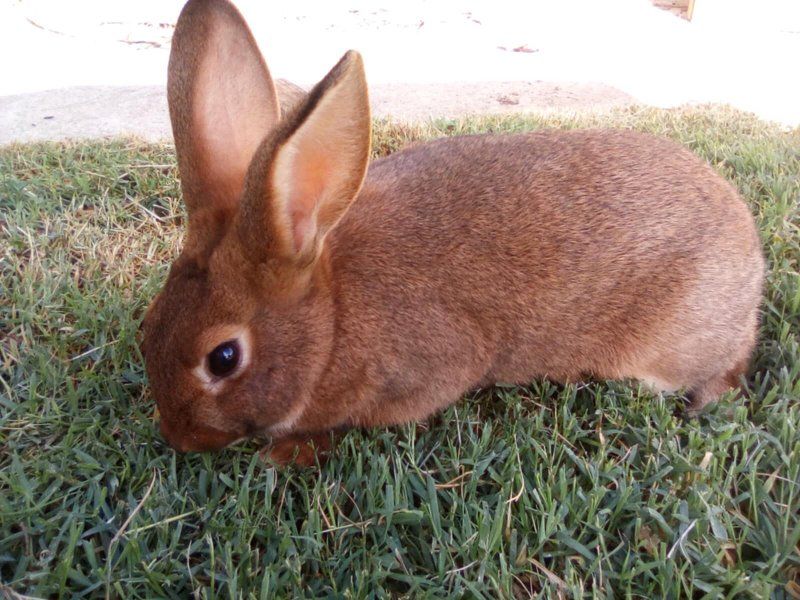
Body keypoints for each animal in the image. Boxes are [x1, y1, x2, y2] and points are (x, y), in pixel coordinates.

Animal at [141, 0, 764, 465]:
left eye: (223, 358)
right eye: (148, 324)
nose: (179, 437)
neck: (332, 319)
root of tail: (751, 256)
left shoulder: (428, 372)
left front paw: (287, 452)